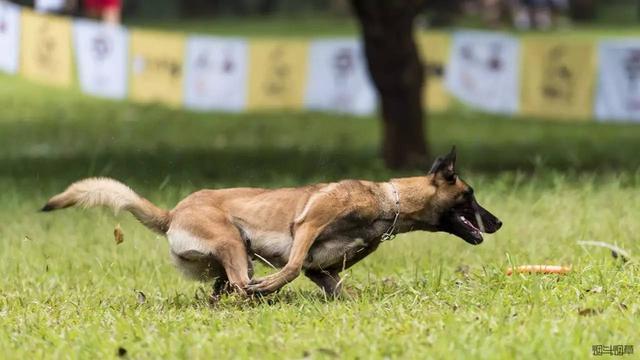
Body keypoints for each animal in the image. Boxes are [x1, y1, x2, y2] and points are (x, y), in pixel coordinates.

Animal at [41, 148, 500, 296]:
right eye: (470, 196)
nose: (496, 223)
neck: (388, 201)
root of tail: (173, 213)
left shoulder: (324, 270)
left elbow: (335, 286)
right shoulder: (308, 225)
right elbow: (292, 265)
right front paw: (273, 285)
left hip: (230, 255)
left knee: (226, 287)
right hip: (231, 240)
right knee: (241, 282)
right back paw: (258, 293)